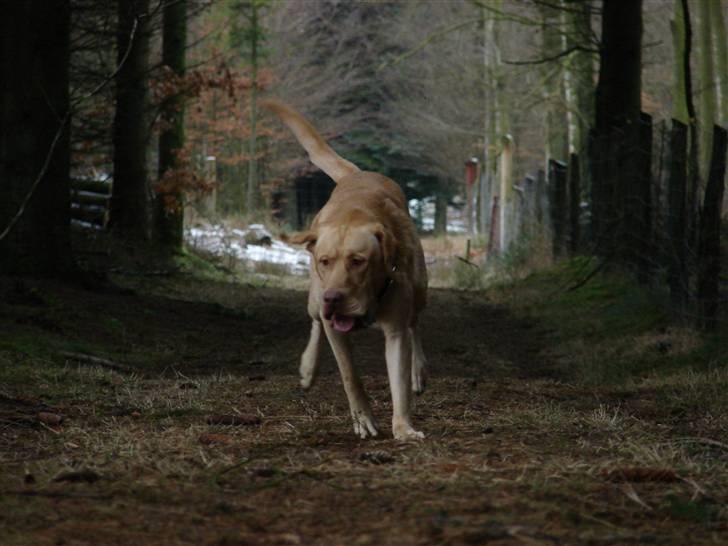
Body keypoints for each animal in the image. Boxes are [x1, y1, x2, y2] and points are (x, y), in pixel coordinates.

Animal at [264, 99, 426, 438]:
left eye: (358, 260)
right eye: (325, 261)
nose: (334, 297)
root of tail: (358, 173)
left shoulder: (396, 331)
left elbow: (400, 381)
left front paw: (403, 426)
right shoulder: (333, 325)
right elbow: (350, 374)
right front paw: (363, 417)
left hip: (421, 290)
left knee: (415, 323)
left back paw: (419, 372)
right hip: (314, 298)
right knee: (314, 319)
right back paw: (308, 367)